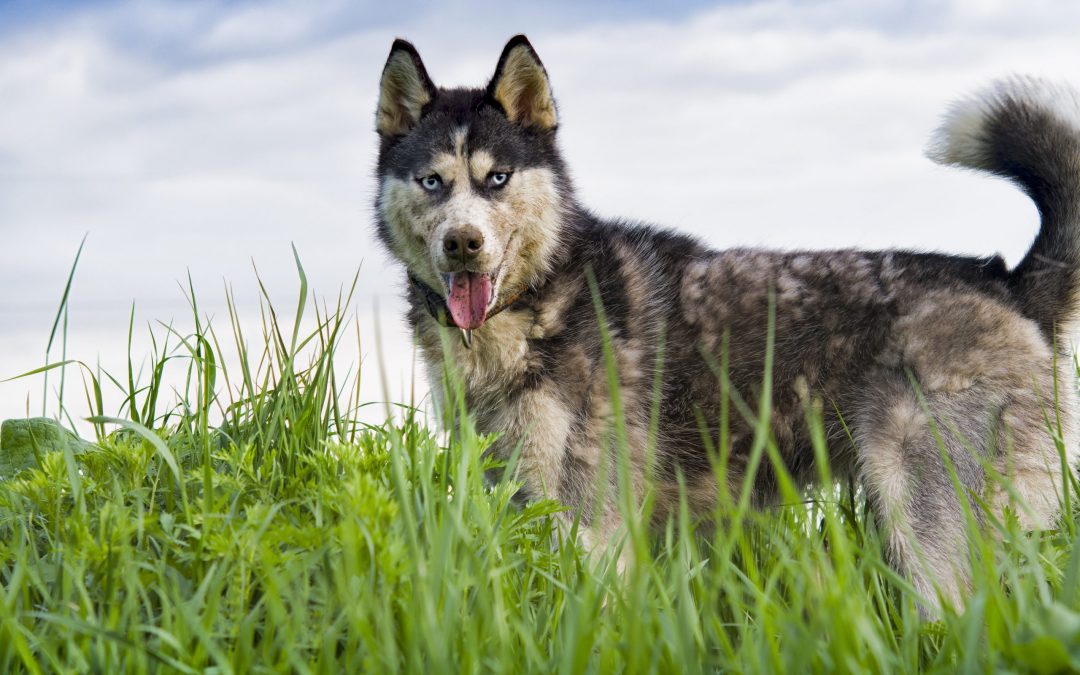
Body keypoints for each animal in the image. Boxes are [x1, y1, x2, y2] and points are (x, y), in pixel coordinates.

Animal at [373, 34, 1080, 609]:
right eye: (433, 181)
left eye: (497, 178)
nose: (463, 244)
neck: (538, 300)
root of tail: (1005, 281)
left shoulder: (589, 523)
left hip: (927, 529)